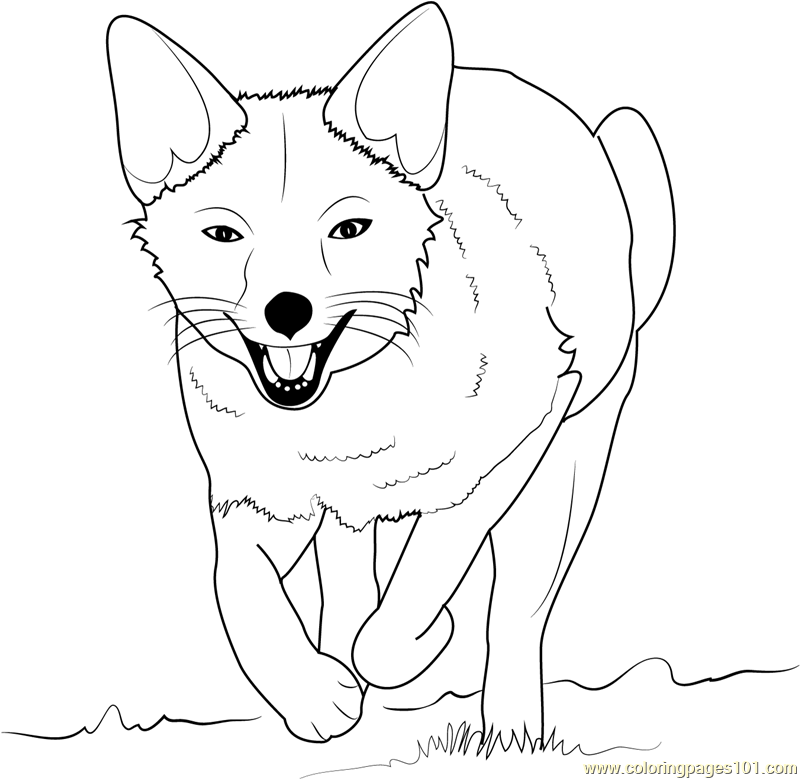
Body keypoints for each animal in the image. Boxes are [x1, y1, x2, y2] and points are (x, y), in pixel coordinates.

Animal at [107, 3, 674, 748]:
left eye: (350, 229)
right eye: (225, 235)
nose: (287, 310)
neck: (340, 426)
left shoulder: (503, 462)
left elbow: (410, 602)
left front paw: (423, 643)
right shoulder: (254, 504)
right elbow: (240, 592)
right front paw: (314, 693)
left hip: (567, 468)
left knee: (517, 614)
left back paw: (513, 731)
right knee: (349, 571)